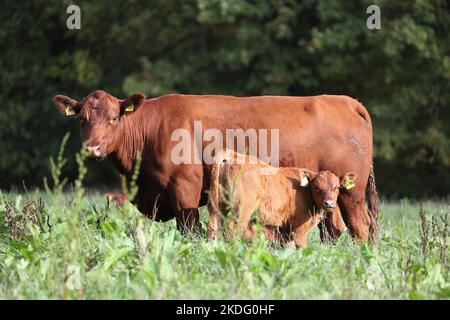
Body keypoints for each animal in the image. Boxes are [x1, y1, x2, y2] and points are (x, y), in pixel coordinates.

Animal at [207, 150, 356, 248]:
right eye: (316, 187)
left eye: (337, 187)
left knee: (213, 228)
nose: (329, 203)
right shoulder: (299, 230)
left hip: (217, 208)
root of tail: (232, 155)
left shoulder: (286, 231)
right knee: (233, 231)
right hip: (241, 211)